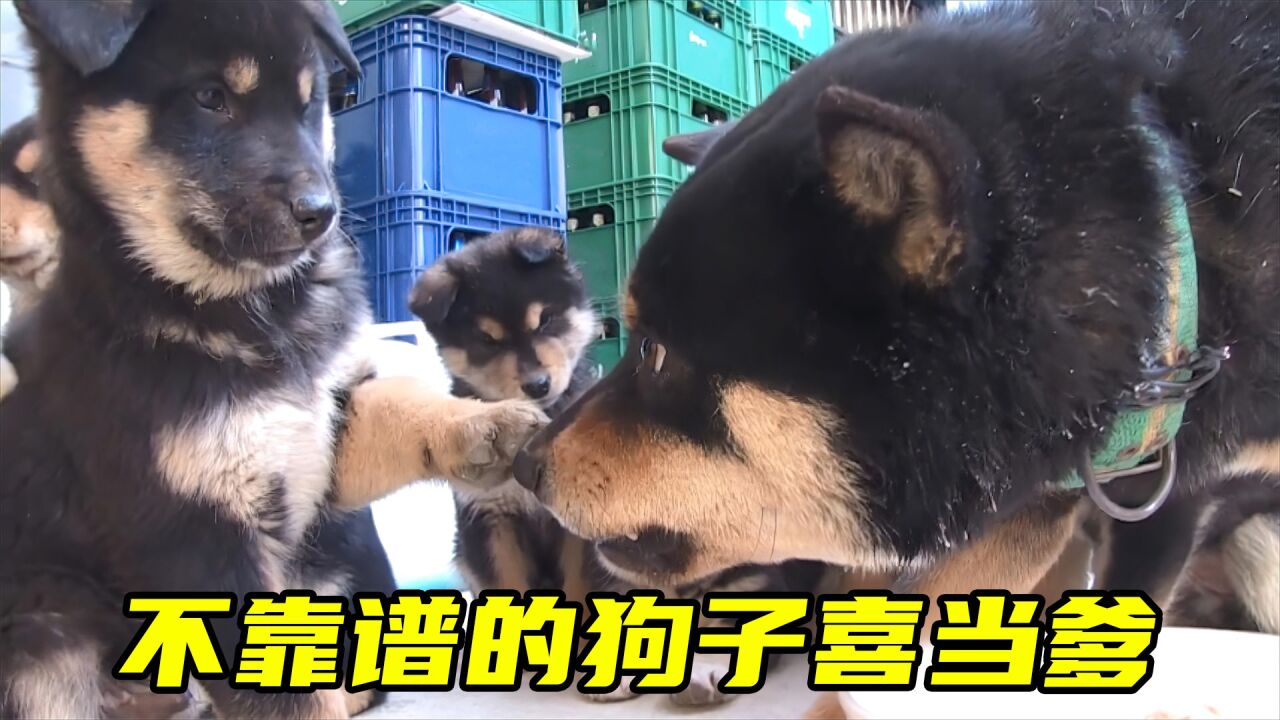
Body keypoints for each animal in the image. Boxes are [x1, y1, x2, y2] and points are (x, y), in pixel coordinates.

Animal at [0, 2, 546, 718]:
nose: (322, 213)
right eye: (210, 98)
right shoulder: (194, 532)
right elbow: (287, 697)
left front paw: (482, 423)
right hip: (40, 636)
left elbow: (400, 405)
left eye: (310, 105)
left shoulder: (320, 432)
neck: (243, 313)